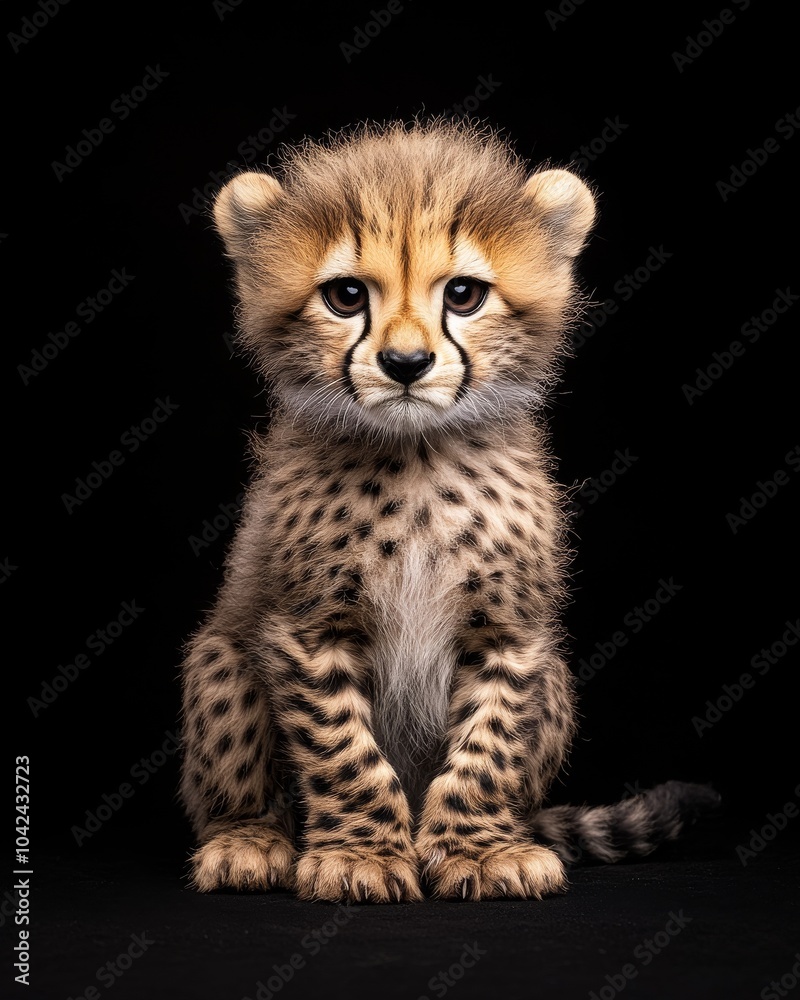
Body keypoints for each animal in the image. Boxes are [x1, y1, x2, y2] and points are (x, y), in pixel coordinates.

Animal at [179, 118, 717, 903]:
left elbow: (487, 746)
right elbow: (344, 750)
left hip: (557, 682)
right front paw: (363, 855)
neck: (417, 456)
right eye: (346, 296)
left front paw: (479, 850)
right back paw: (248, 841)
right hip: (219, 657)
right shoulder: (310, 628)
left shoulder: (509, 632)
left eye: (463, 295)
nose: (406, 364)